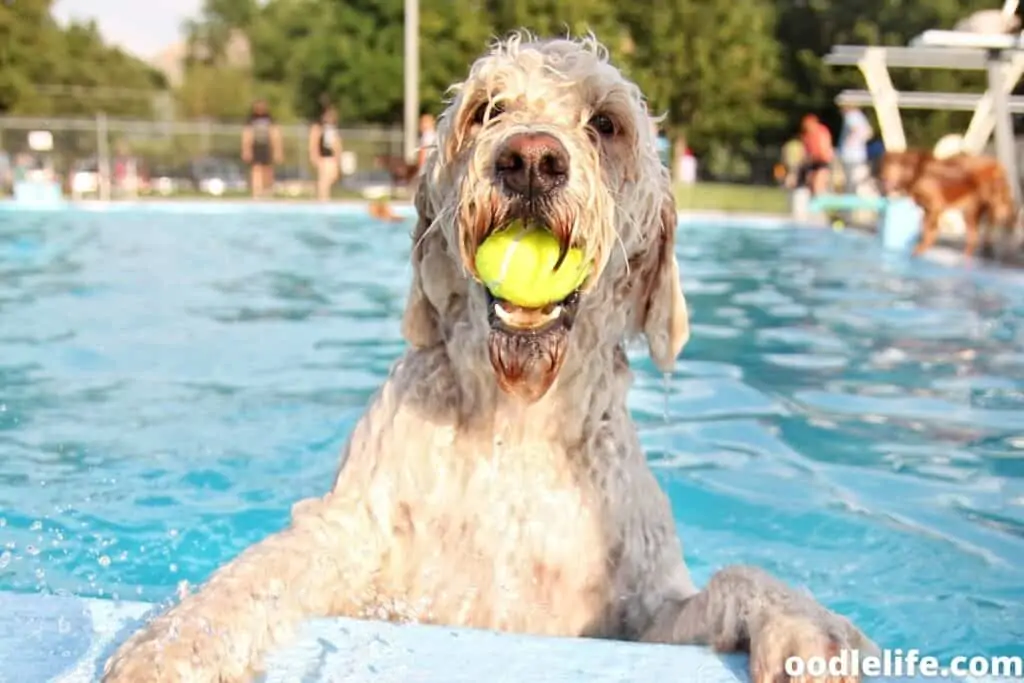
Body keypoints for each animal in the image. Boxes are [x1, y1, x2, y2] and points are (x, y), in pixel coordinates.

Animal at [880, 148, 1015, 255]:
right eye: (884, 168)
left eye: (890, 169)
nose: (882, 180)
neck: (916, 172)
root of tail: (998, 165)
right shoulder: (927, 209)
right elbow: (926, 228)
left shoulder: (936, 205)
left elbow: (929, 230)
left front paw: (921, 248)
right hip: (972, 211)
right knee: (977, 235)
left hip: (991, 202)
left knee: (1001, 215)